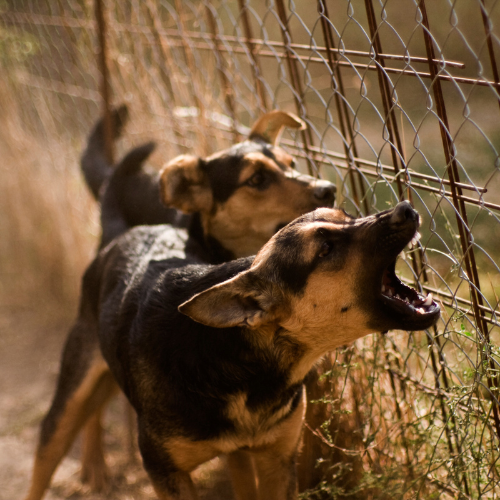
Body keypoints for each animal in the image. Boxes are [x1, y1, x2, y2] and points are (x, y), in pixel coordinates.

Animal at [22, 200, 438, 500]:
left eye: (348, 217)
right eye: (325, 248)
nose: (406, 208)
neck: (239, 357)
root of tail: (125, 232)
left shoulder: (276, 460)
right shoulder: (165, 473)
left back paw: (95, 465)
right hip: (69, 394)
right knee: (51, 447)